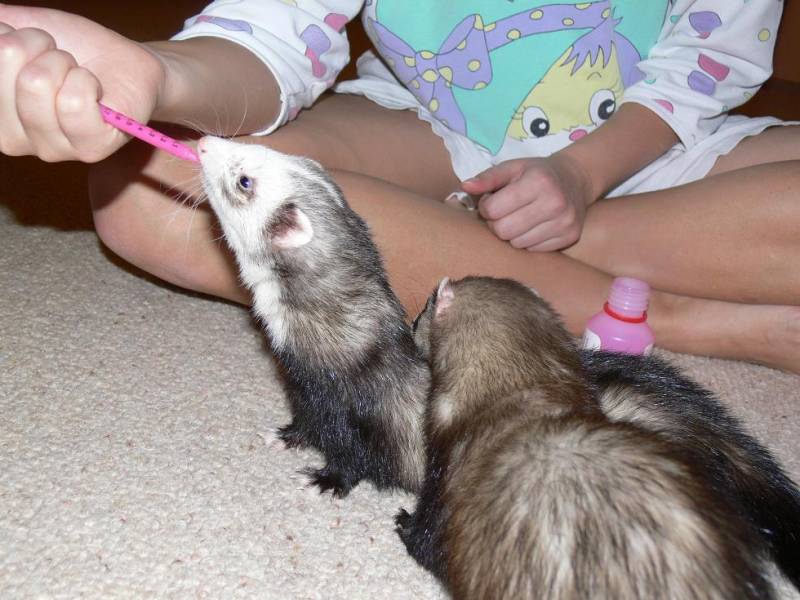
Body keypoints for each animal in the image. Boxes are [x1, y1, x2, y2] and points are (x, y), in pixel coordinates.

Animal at [197, 136, 428, 496]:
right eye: (268, 150)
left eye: (245, 181)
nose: (204, 142)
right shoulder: (305, 396)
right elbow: (308, 424)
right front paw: (286, 436)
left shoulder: (356, 417)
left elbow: (354, 460)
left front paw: (325, 480)